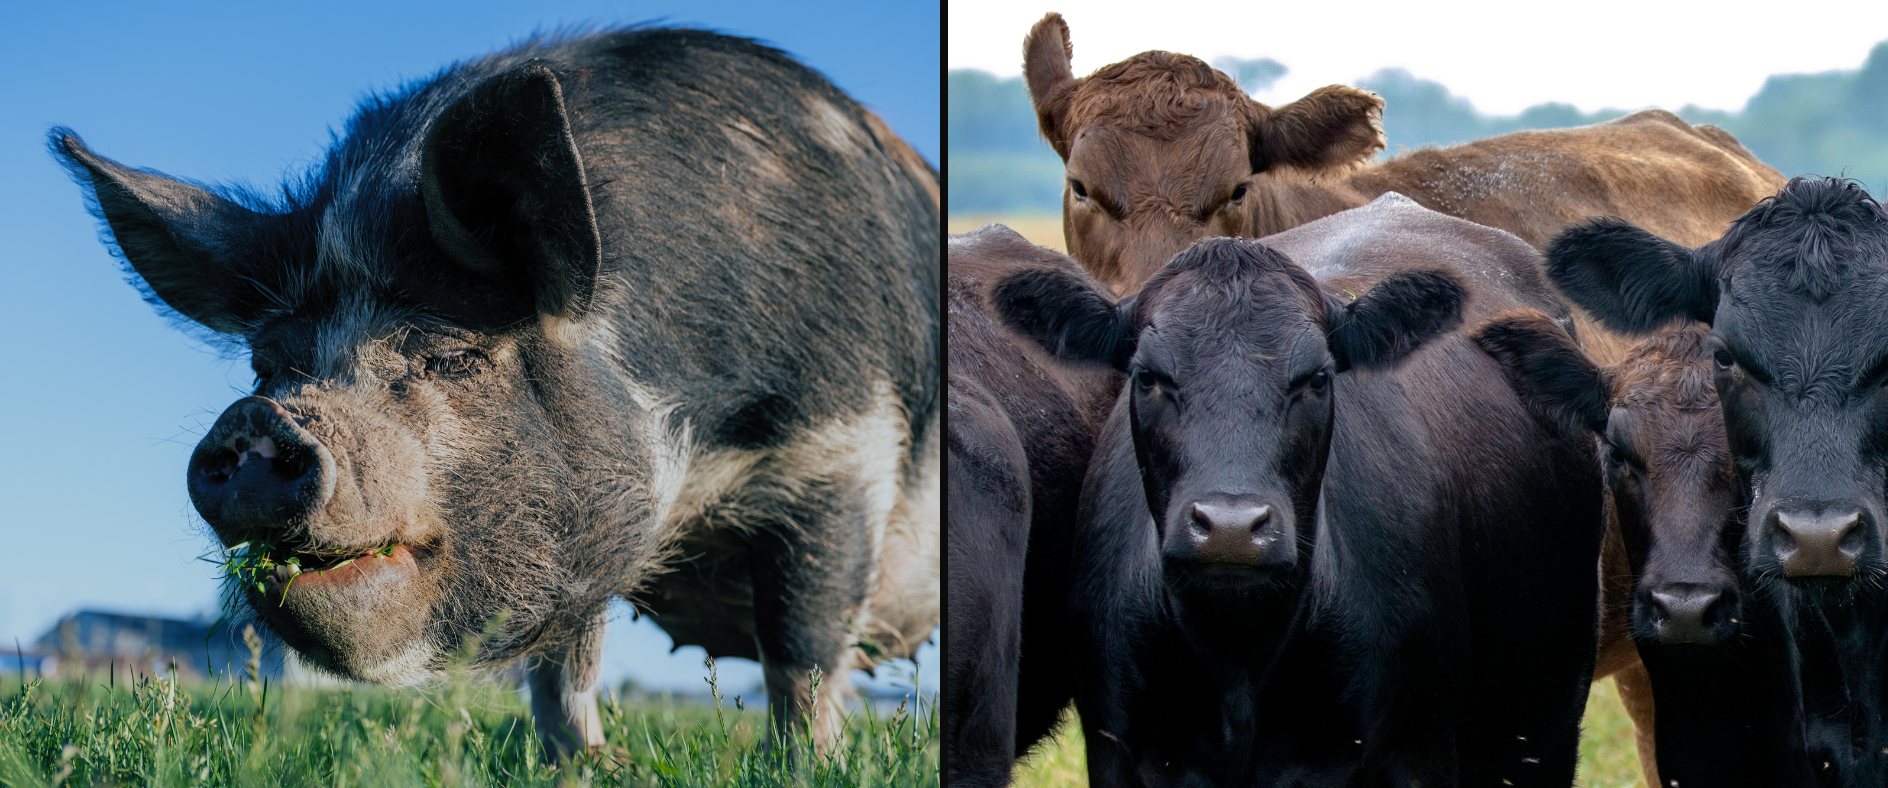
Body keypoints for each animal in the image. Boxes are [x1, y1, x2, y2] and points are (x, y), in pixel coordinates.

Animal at [50, 28, 940, 759]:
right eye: (268, 367)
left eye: (450, 356)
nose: (258, 418)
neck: (695, 468)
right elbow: (561, 668)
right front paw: (581, 765)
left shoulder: (842, 446)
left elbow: (801, 651)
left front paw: (809, 766)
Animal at [993, 194, 1605, 786]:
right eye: (1148, 378)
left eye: (1316, 378)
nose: (1231, 528)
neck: (1239, 657)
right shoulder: (1115, 750)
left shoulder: (1417, 750)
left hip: (1543, 727)